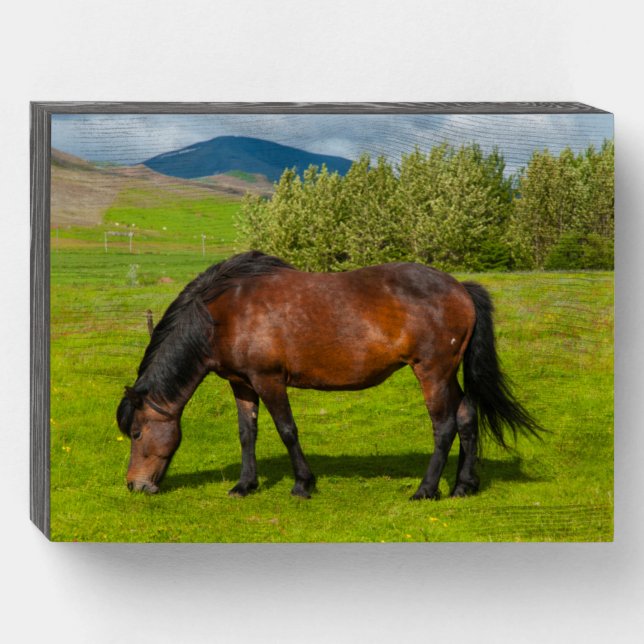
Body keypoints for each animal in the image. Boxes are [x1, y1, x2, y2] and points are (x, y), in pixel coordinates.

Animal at [117, 250, 542, 500]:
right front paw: (245, 484)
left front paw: (303, 484)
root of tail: (460, 288)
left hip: (433, 374)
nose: (135, 485)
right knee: (467, 416)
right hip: (448, 374)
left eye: (136, 433)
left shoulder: (269, 380)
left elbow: (287, 431)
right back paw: (463, 486)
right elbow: (247, 434)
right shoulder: (243, 384)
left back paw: (426, 490)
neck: (225, 313)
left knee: (445, 426)